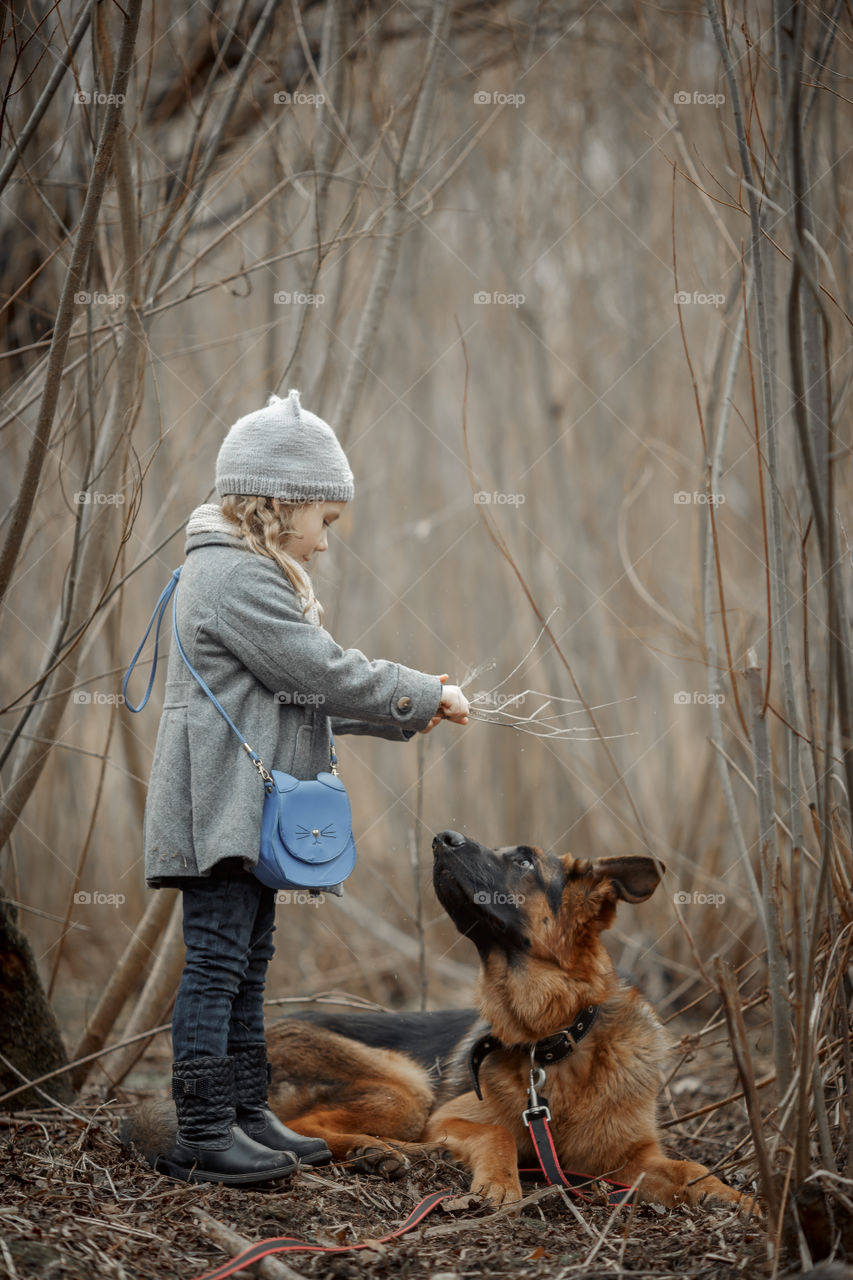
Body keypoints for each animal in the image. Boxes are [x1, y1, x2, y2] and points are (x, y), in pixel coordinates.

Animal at [128, 829, 753, 1208]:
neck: (552, 1042)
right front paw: (499, 1185)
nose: (440, 837)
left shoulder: (633, 1157)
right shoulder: (456, 1114)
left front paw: (744, 1200)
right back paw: (389, 1154)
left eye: (523, 859)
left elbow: (693, 1169)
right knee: (312, 1129)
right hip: (406, 1086)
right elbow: (498, 1130)